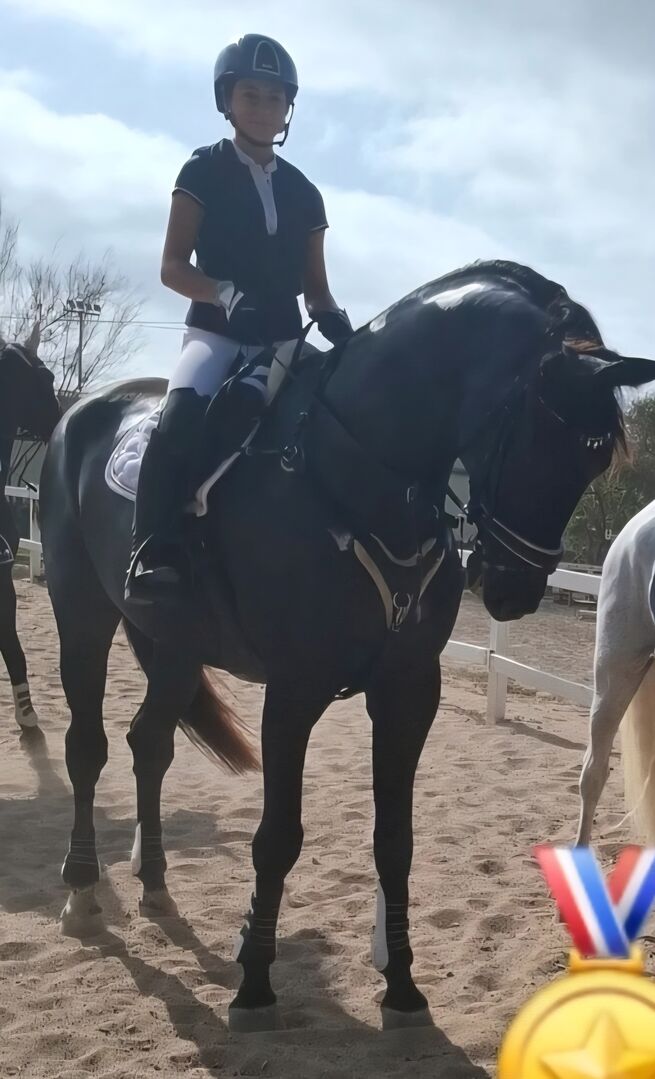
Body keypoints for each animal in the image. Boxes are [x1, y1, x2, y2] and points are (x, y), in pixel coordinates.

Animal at [39, 260, 655, 1030]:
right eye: (540, 441)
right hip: (83, 613)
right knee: (86, 747)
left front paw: (403, 985)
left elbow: (395, 840)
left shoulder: (408, 689)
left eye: (593, 464)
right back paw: (82, 893)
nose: (513, 591)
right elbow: (277, 837)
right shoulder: (293, 691)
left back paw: (153, 885)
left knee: (149, 743)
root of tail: (83, 411)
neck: (357, 479)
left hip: (174, 645)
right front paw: (254, 982)